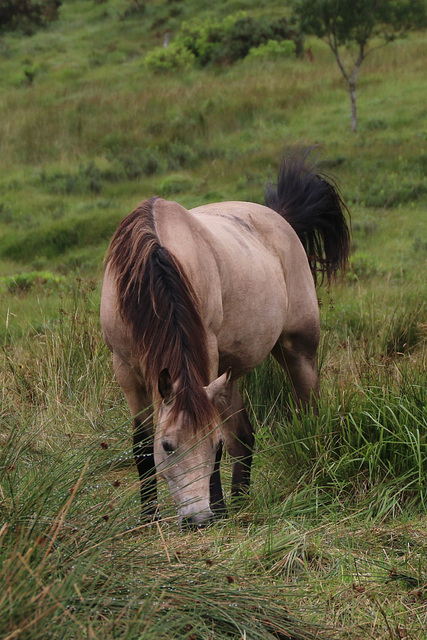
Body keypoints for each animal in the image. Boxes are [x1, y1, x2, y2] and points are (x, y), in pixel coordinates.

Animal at [101, 149, 352, 524]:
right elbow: (142, 445)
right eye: (168, 446)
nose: (198, 518)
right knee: (245, 436)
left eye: (212, 444)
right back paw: (241, 500)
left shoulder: (204, 354)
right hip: (228, 374)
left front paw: (217, 508)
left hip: (297, 350)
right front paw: (148, 518)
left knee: (309, 411)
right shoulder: (126, 369)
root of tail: (280, 217)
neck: (153, 261)